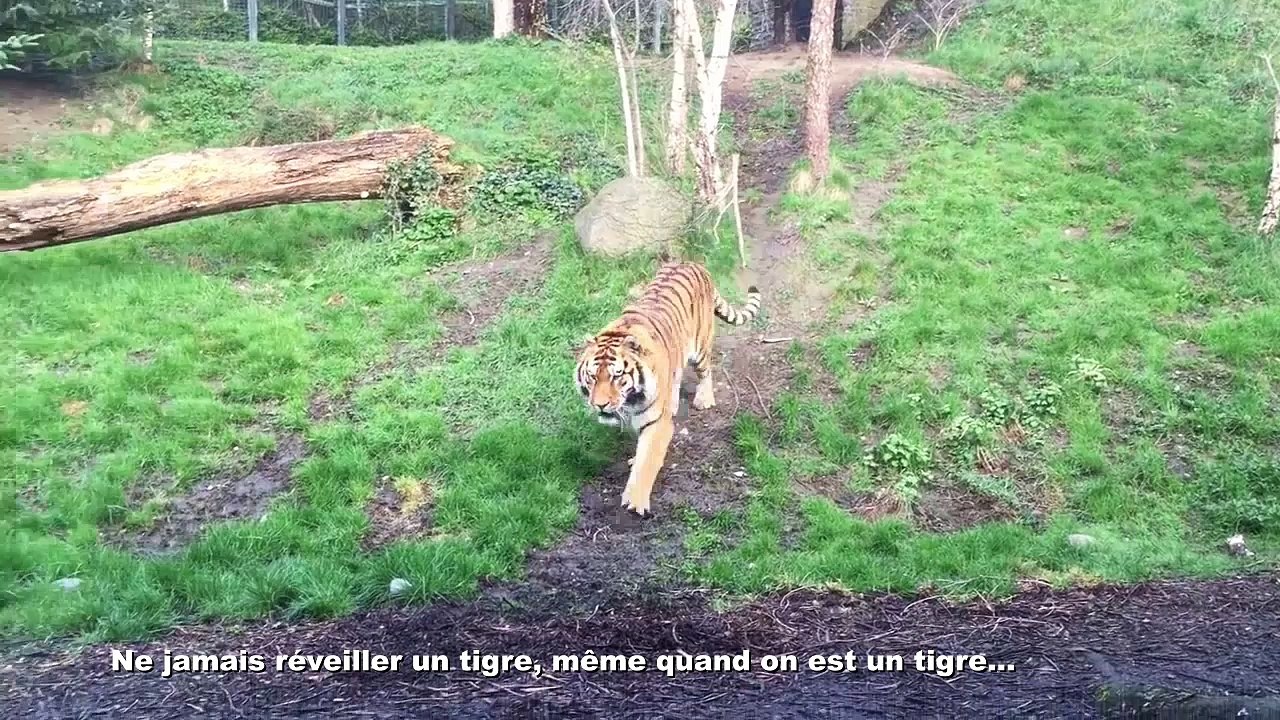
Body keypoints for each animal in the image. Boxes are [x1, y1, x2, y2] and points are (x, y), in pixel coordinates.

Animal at [574, 262, 762, 516]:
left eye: (617, 375)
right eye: (593, 376)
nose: (600, 405)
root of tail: (693, 263)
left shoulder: (656, 423)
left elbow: (647, 461)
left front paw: (635, 503)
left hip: (700, 346)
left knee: (706, 371)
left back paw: (704, 399)